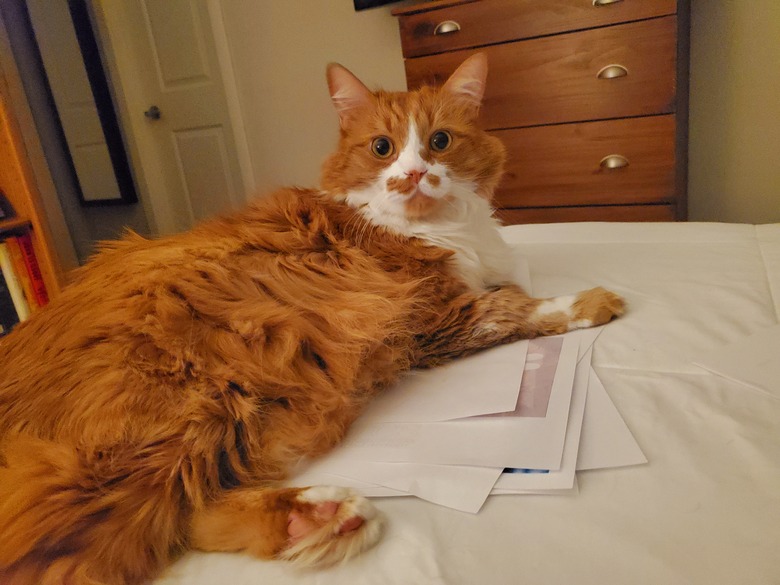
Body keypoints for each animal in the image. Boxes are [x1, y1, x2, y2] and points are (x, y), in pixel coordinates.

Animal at [0, 52, 624, 580]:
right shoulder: (434, 321)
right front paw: (595, 301)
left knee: (188, 517)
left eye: (441, 142)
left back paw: (320, 519)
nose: (413, 174)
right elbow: (518, 303)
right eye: (382, 148)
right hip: (167, 425)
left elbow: (514, 277)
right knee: (85, 551)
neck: (437, 229)